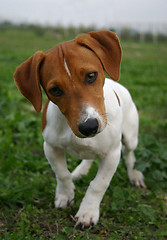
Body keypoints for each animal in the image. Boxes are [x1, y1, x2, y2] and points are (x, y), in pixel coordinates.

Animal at [13, 31, 145, 228]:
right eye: (55, 90)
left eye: (91, 76)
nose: (89, 127)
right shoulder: (50, 147)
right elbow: (62, 174)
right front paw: (65, 195)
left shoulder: (112, 154)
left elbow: (98, 184)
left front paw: (87, 212)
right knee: (89, 158)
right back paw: (81, 171)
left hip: (130, 137)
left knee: (129, 156)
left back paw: (134, 175)